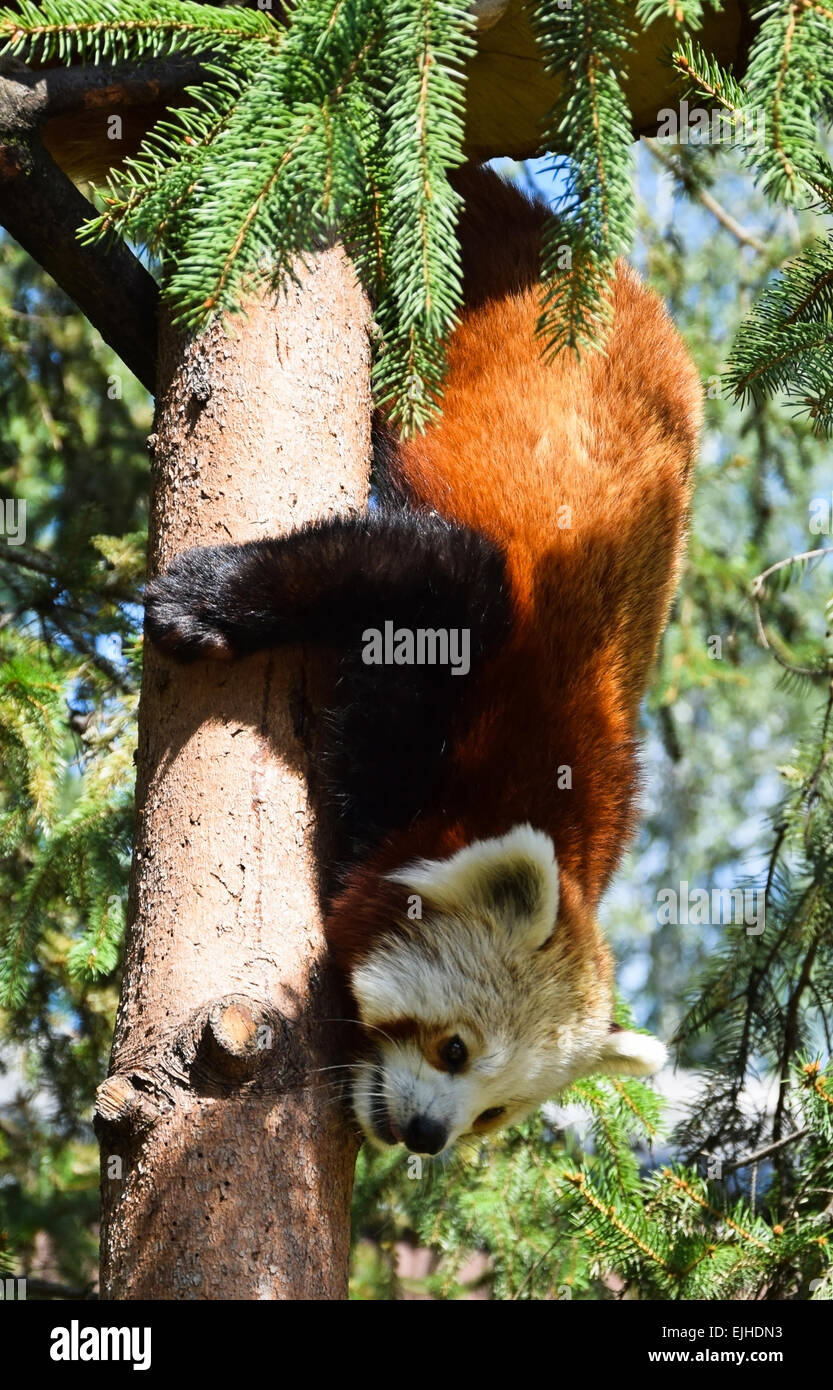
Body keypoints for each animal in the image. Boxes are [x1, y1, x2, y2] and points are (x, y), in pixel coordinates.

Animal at [145, 168, 703, 1156]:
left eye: (495, 1111)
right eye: (453, 1048)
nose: (426, 1137)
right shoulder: (486, 627)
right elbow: (404, 570)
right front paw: (207, 602)